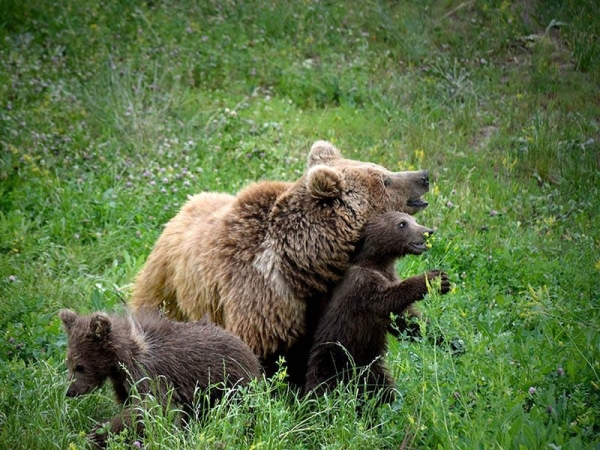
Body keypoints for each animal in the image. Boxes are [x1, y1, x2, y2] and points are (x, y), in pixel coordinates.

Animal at [129, 141, 428, 376]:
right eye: (385, 179)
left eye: (384, 170)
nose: (424, 176)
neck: (304, 265)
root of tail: (185, 204)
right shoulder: (261, 295)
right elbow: (261, 350)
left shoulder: (331, 293)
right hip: (168, 285)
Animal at [304, 212, 450, 404]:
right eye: (402, 223)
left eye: (415, 220)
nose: (428, 232)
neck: (378, 262)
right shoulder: (362, 285)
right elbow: (387, 300)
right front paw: (434, 279)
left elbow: (405, 320)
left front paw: (446, 339)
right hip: (334, 358)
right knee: (322, 387)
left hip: (372, 367)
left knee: (383, 389)